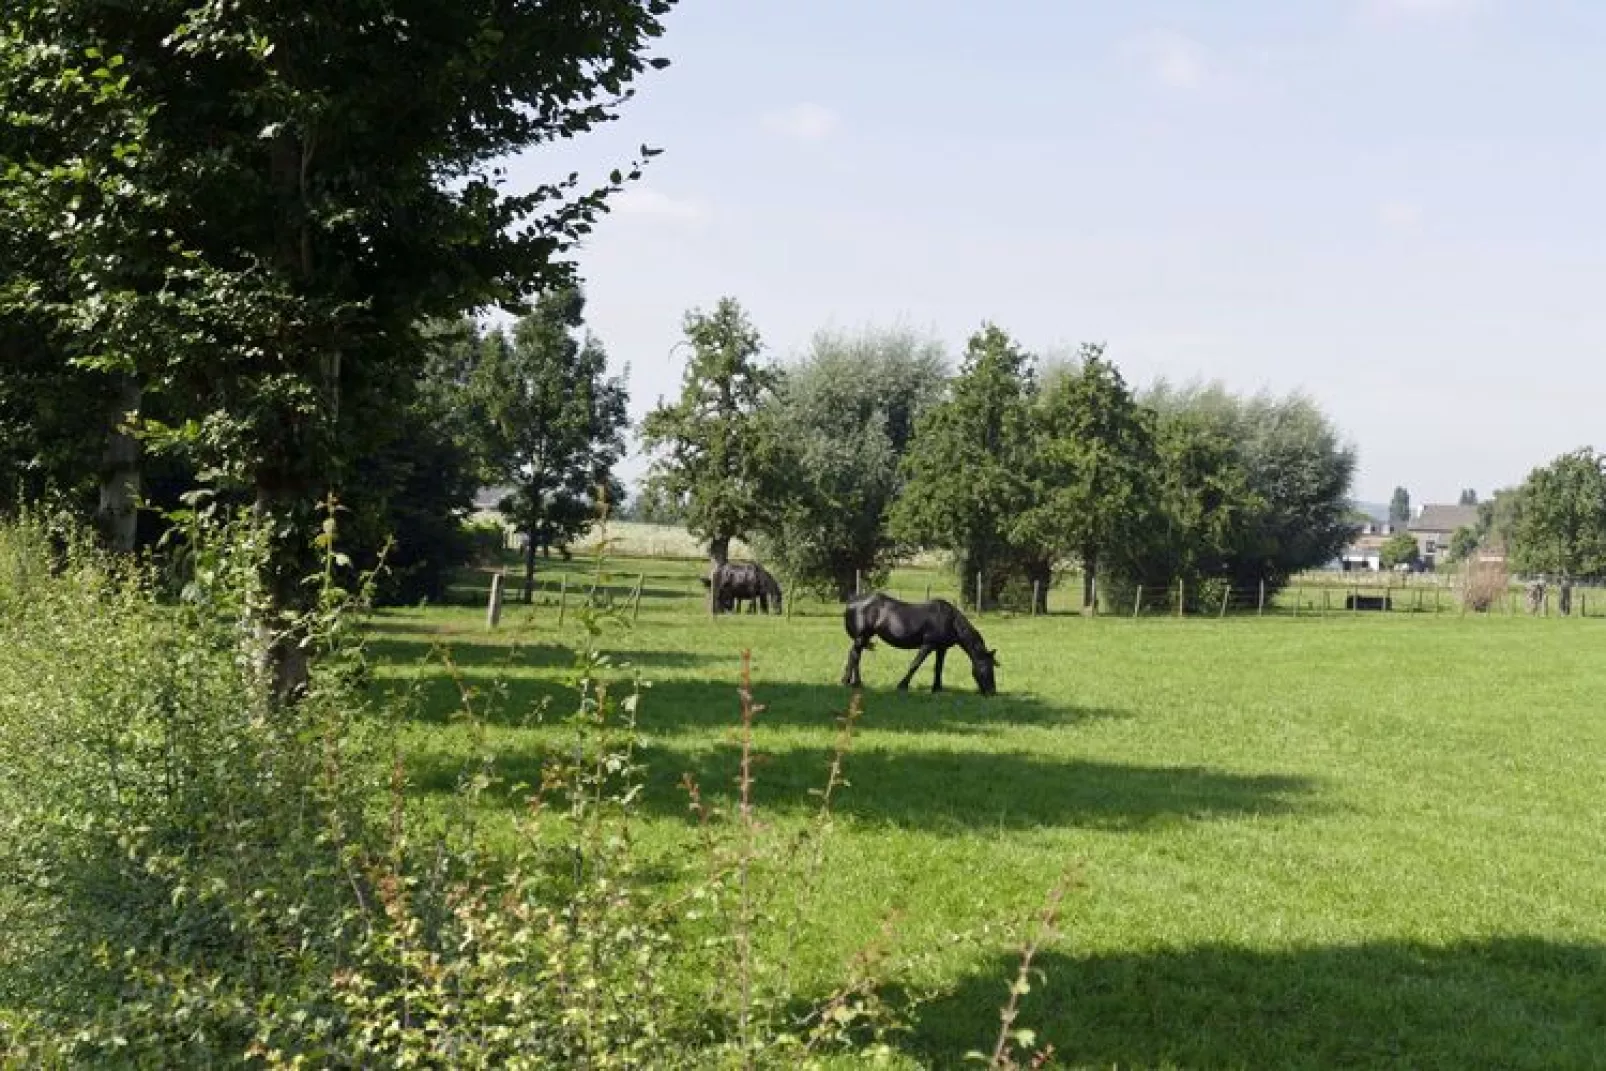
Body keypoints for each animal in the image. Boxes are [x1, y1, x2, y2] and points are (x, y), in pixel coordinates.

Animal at [841, 594, 989, 696]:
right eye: (986, 667)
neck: (950, 620)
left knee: (854, 655)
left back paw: (849, 681)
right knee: (855, 656)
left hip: (863, 638)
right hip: (861, 637)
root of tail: (852, 602)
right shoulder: (928, 645)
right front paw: (902, 686)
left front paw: (937, 689)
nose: (991, 692)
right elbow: (915, 664)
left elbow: (938, 667)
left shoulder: (941, 648)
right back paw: (855, 683)